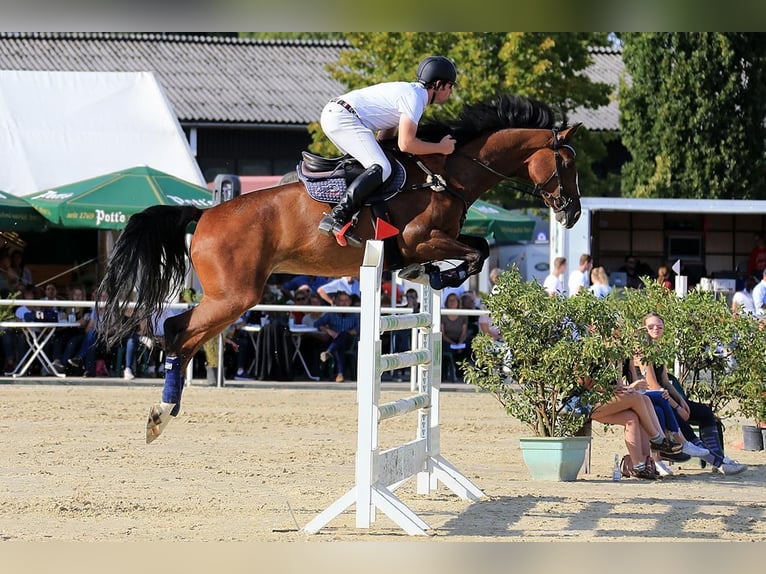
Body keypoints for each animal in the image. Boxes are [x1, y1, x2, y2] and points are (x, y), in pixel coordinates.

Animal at [94, 94, 584, 446]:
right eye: (567, 163)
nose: (573, 214)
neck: (449, 174)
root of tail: (205, 214)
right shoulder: (419, 238)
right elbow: (475, 253)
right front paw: (436, 276)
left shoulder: (435, 239)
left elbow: (478, 247)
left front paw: (430, 276)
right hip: (234, 295)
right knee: (177, 331)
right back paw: (160, 413)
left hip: (231, 298)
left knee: (184, 336)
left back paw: (165, 411)